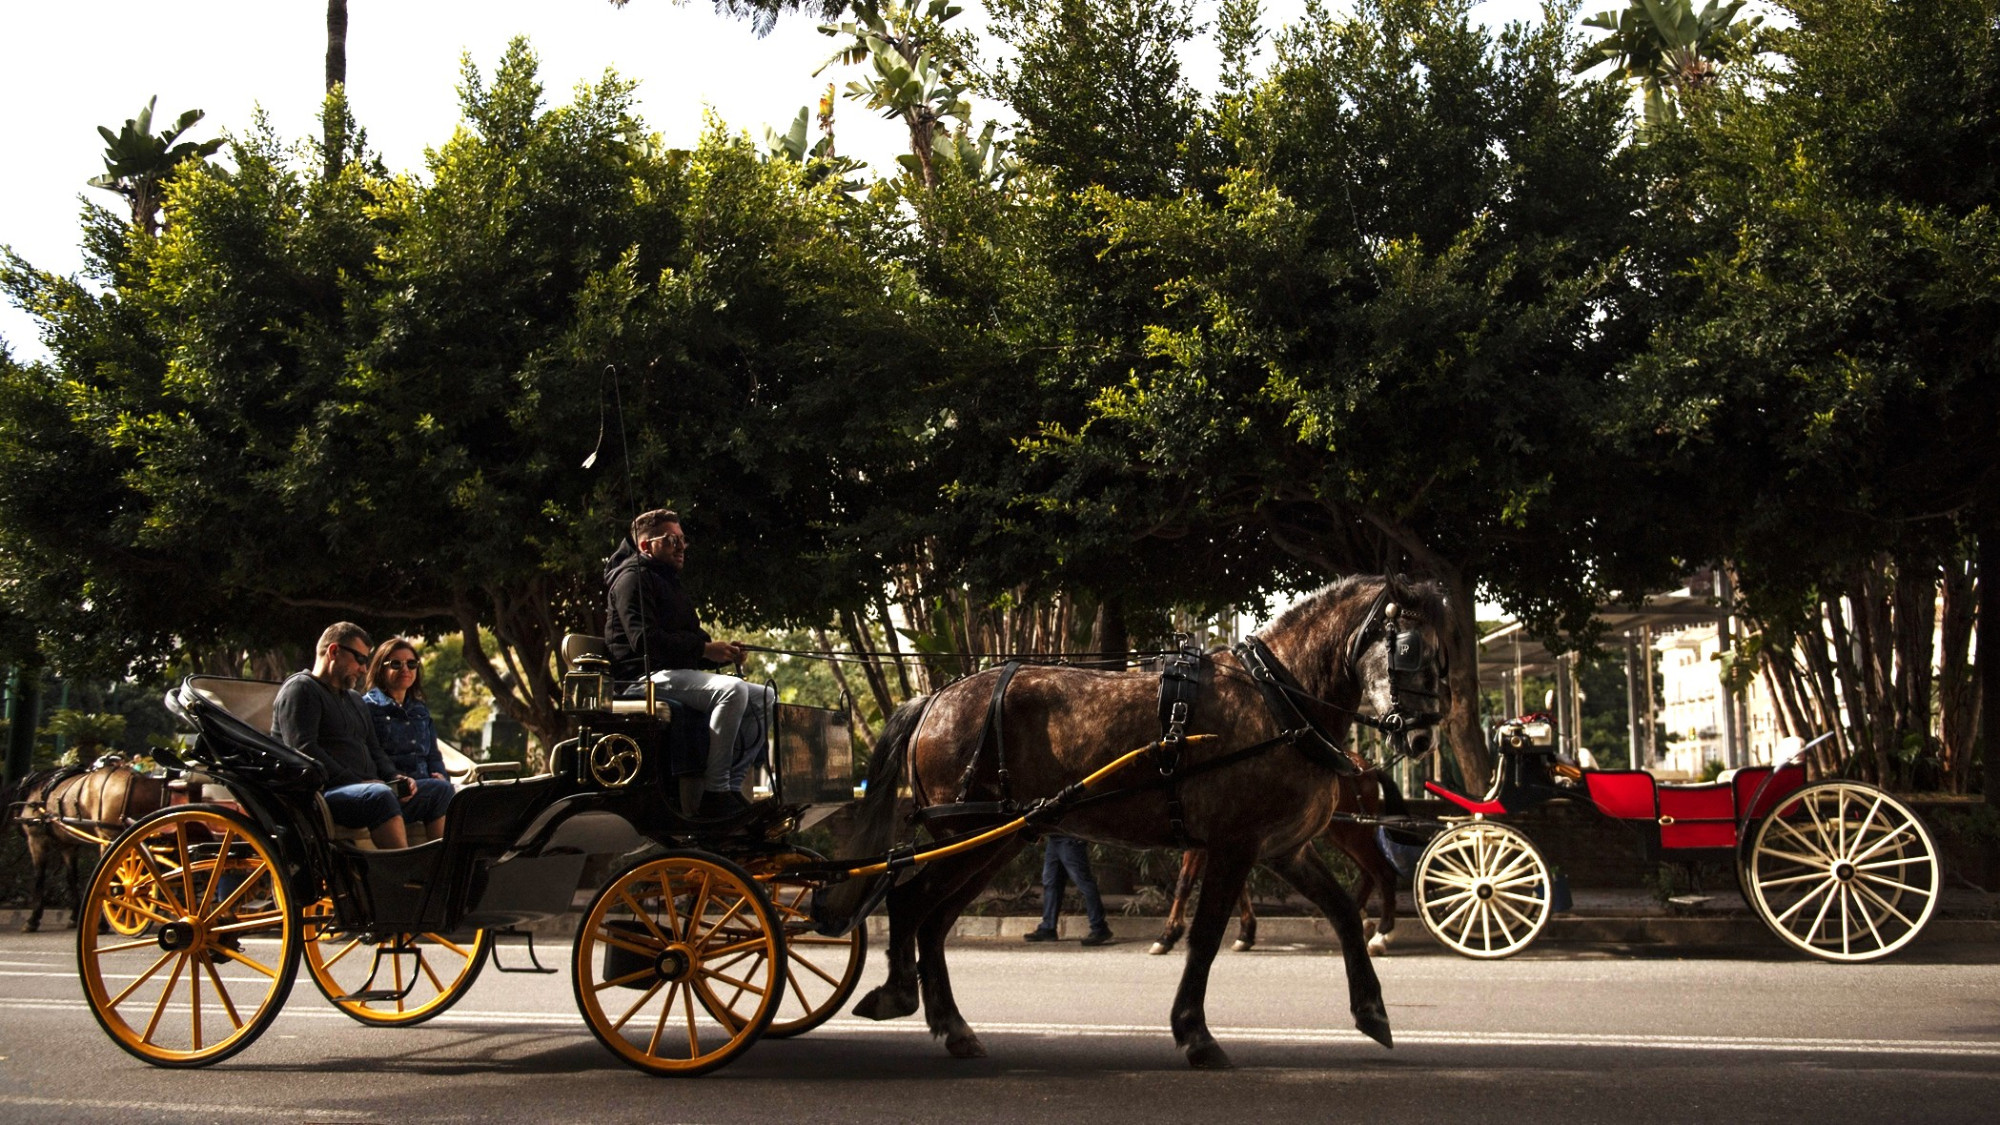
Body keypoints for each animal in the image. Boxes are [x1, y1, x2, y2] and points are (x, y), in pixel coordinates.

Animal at [8, 756, 167, 932]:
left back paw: (105, 921)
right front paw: (74, 915)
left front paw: (33, 919)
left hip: (110, 837)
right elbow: (71, 877)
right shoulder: (67, 845)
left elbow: (39, 877)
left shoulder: (36, 839)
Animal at [1152, 768, 1400, 952]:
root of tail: (1366, 768)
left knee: (1384, 873)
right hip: (1342, 835)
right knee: (1369, 874)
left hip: (1352, 833)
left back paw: (1381, 934)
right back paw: (1362, 921)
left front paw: (1167, 935)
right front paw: (1246, 933)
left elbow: (1184, 883)